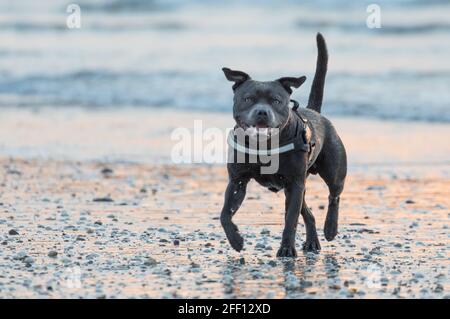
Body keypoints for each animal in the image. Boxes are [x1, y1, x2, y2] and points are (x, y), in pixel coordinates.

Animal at [220, 32, 346, 258]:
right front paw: (236, 240)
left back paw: (330, 228)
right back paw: (312, 242)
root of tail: (316, 113)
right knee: (308, 212)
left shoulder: (295, 184)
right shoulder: (237, 181)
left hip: (331, 172)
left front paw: (286, 248)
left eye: (276, 100)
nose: (262, 112)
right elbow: (225, 214)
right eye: (248, 98)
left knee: (334, 196)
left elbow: (290, 221)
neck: (264, 146)